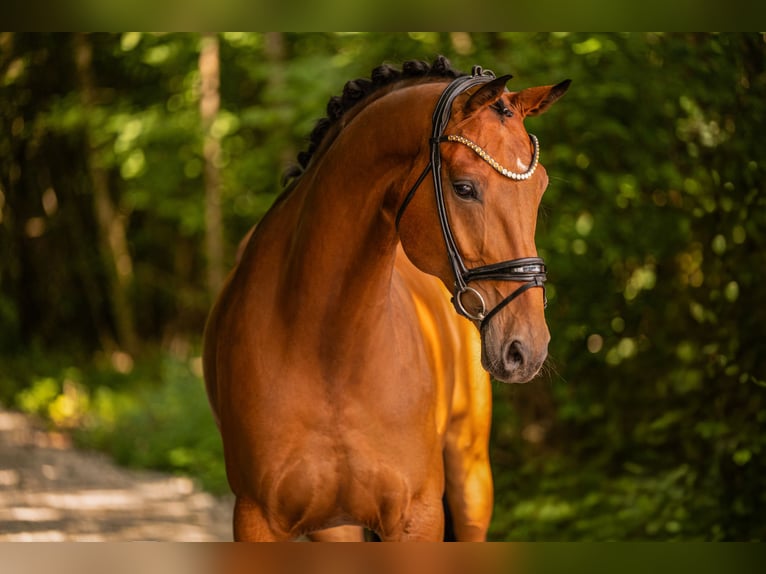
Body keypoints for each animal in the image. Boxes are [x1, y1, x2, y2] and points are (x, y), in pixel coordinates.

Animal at [203, 56, 569, 541]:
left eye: (539, 187)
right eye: (464, 187)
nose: (526, 348)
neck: (330, 352)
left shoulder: (419, 517)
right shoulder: (257, 518)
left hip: (471, 482)